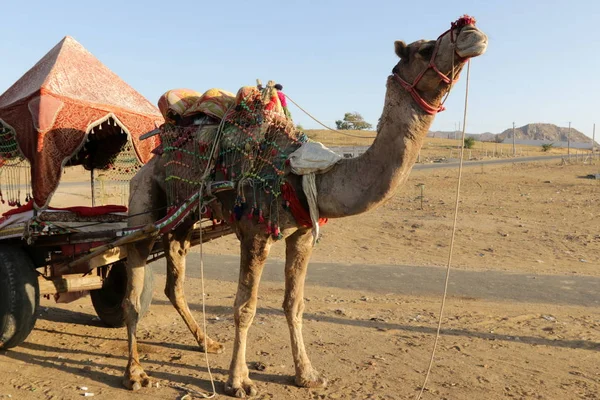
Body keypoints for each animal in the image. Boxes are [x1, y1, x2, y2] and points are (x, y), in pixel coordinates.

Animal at [120, 15, 488, 396]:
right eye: (426, 49)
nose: (472, 33)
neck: (302, 172)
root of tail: (151, 155)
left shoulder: (302, 233)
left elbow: (294, 304)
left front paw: (307, 374)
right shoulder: (254, 232)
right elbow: (245, 307)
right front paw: (239, 381)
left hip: (183, 217)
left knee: (174, 277)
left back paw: (205, 342)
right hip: (145, 199)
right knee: (132, 283)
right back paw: (135, 373)